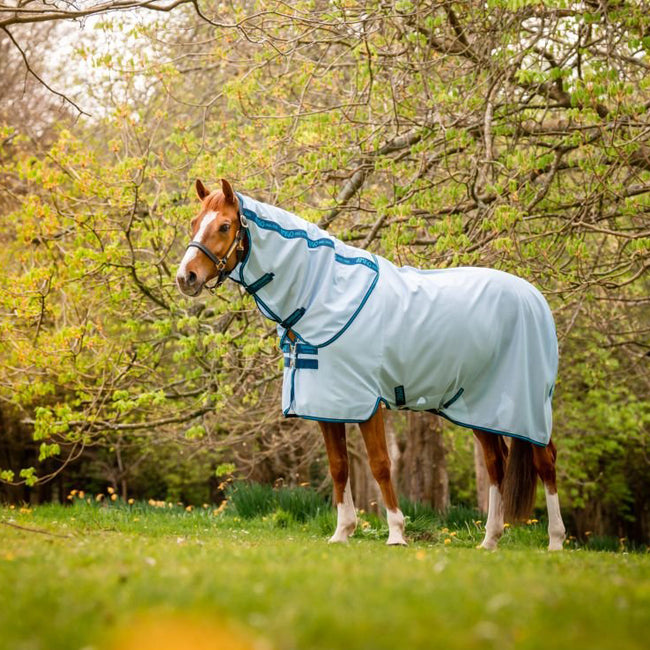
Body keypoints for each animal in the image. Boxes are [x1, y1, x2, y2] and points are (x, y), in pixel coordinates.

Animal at [175, 177, 564, 548]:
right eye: (194, 222)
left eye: (225, 226)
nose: (185, 277)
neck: (324, 295)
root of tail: (534, 298)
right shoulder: (327, 404)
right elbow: (338, 466)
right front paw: (342, 532)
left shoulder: (367, 402)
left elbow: (379, 464)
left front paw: (396, 533)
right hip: (480, 406)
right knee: (496, 464)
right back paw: (490, 540)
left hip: (528, 405)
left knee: (545, 461)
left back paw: (555, 541)